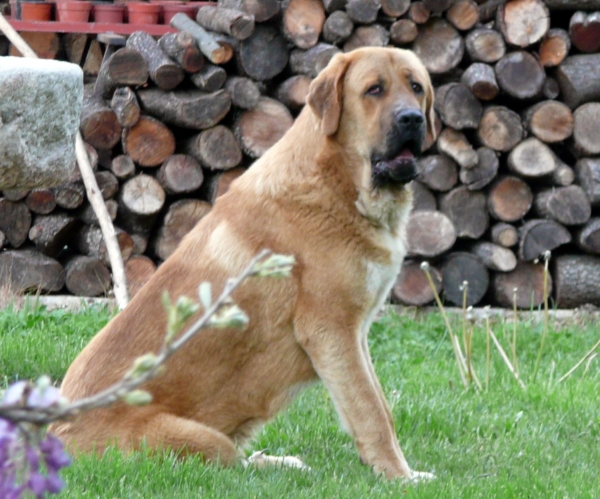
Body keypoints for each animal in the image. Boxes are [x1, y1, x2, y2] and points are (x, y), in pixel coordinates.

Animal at [51, 47, 436, 480]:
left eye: (416, 87)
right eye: (374, 90)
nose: (412, 119)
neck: (339, 181)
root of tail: (55, 434)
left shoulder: (355, 335)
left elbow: (378, 405)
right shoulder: (332, 330)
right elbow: (371, 411)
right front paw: (399, 477)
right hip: (200, 439)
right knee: (234, 465)